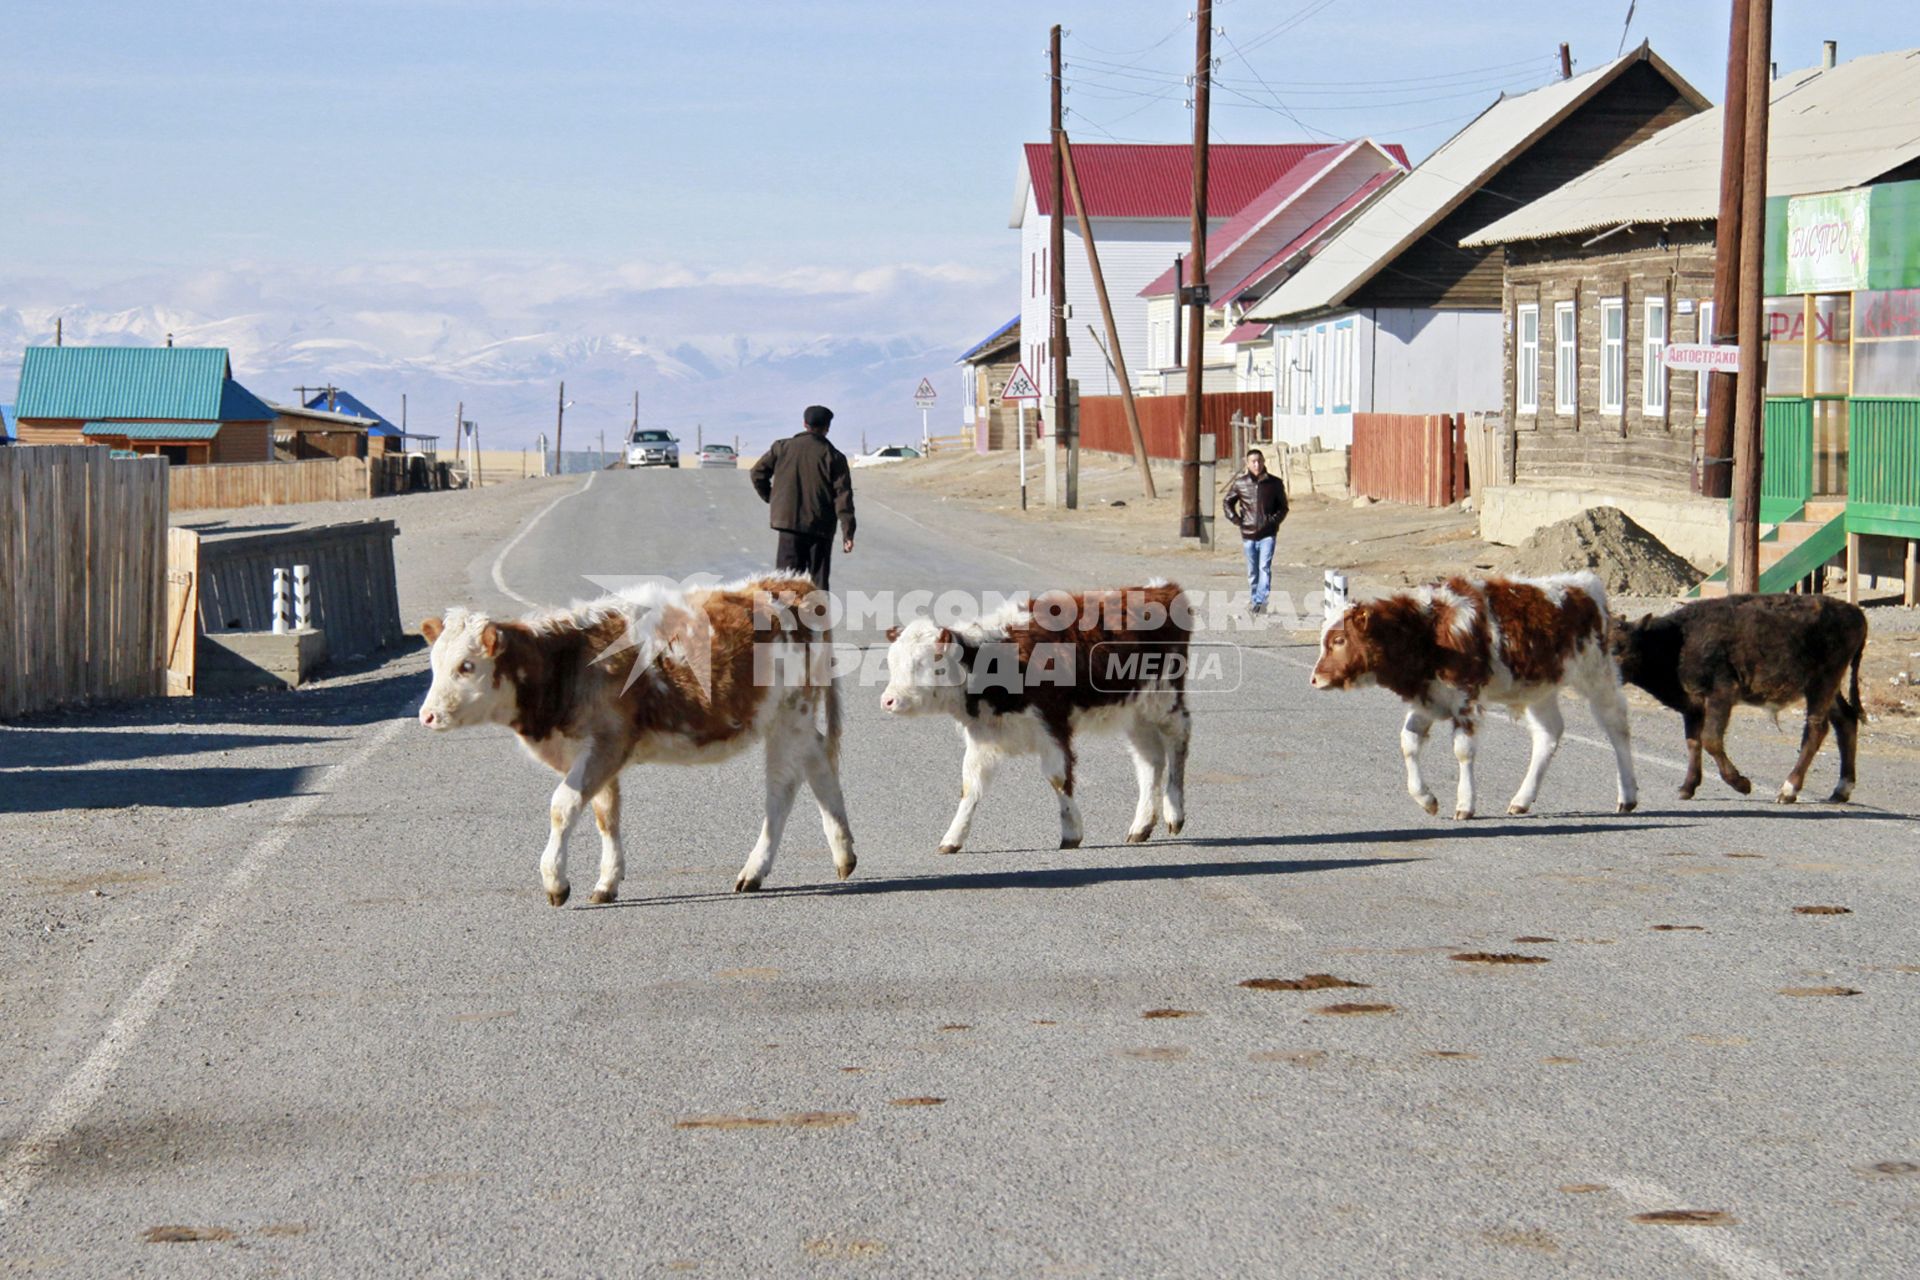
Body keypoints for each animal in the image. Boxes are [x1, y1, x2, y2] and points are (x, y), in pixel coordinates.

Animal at [420, 575, 856, 905]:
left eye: (466, 666)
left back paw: (755, 869)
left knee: (781, 788)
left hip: (790, 714)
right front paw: (607, 881)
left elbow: (562, 807)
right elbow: (606, 814)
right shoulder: (593, 754)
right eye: (434, 664)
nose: (427, 715)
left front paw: (555, 881)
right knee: (819, 760)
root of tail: (791, 582)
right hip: (794, 719)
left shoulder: (606, 744)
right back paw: (844, 852)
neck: (566, 661)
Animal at [879, 587, 1182, 855]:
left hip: (1165, 701)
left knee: (1177, 745)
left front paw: (1071, 833)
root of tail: (1160, 589)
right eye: (892, 662)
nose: (888, 700)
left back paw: (1175, 812)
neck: (999, 663)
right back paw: (1142, 825)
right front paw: (953, 838)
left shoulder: (1053, 728)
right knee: (1151, 761)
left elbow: (1059, 778)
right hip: (1137, 713)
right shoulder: (982, 738)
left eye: (926, 663)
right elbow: (970, 786)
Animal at [1320, 571, 1635, 821]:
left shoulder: (1464, 699)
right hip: (1539, 689)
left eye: (1339, 639)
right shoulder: (1428, 698)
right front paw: (1426, 799)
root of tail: (1584, 583)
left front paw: (1465, 804)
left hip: (1596, 675)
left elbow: (1463, 750)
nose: (1315, 677)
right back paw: (1522, 799)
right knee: (1548, 733)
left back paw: (1628, 795)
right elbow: (1408, 742)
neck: (1428, 628)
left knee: (1616, 723)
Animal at [1612, 594, 1866, 802]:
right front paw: (1687, 788)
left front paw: (1742, 784)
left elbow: (1710, 740)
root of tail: (1856, 614)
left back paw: (1788, 790)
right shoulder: (1693, 706)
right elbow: (1693, 742)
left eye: (1618, 648)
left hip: (1821, 685)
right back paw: (1840, 791)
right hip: (1828, 690)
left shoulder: (1720, 695)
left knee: (1817, 729)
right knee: (1846, 720)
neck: (1677, 640)